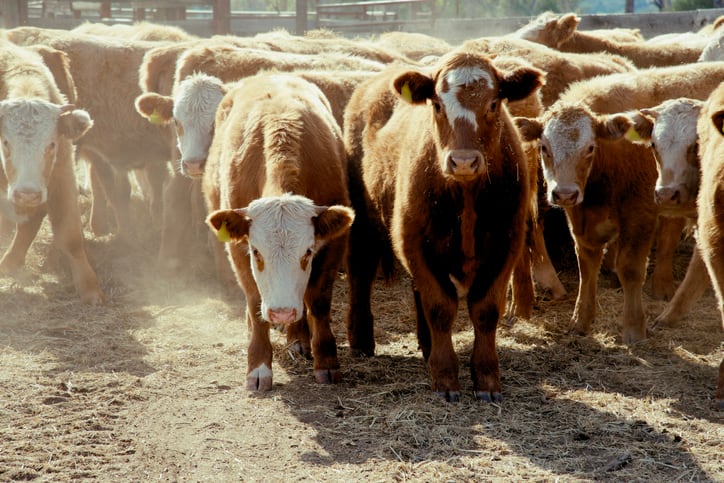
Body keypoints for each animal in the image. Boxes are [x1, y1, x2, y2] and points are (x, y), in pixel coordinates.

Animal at [0, 40, 102, 304]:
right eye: (6, 143)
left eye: (51, 144)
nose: (27, 194)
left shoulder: (62, 176)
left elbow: (70, 236)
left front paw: (90, 288)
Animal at [203, 73, 354, 391]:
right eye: (256, 252)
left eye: (308, 252)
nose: (281, 312)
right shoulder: (237, 248)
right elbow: (254, 301)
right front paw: (259, 367)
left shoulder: (334, 244)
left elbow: (318, 300)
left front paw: (326, 361)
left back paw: (299, 338)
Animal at [343, 49, 543, 402]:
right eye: (436, 104)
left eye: (493, 103)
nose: (463, 161)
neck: (466, 194)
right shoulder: (413, 240)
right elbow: (440, 307)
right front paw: (445, 376)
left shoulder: (505, 246)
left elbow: (485, 310)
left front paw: (486, 378)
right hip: (362, 220)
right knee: (361, 271)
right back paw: (362, 339)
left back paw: (426, 346)